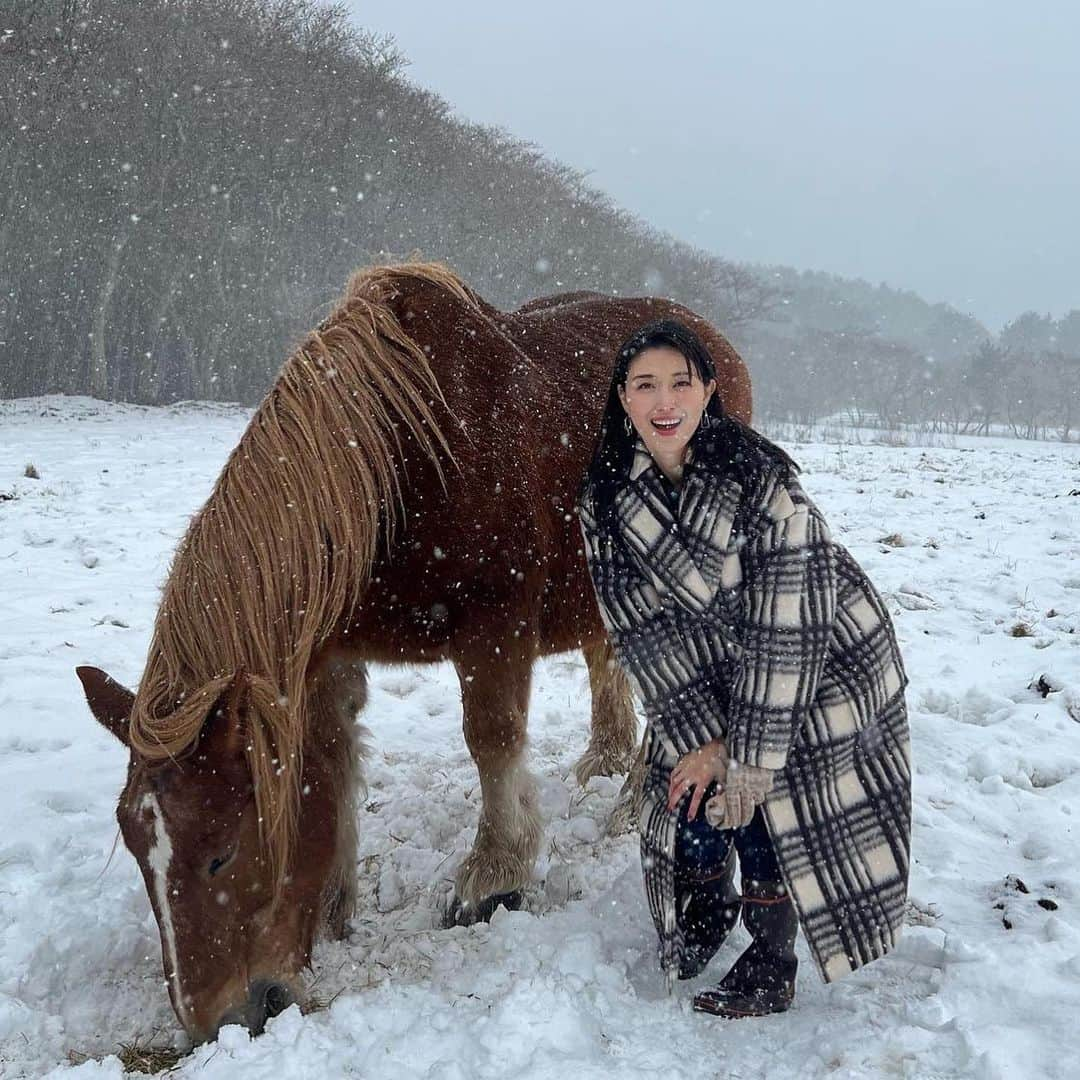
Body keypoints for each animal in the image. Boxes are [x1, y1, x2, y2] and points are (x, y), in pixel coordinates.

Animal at [78, 259, 751, 1036]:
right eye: (136, 850)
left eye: (222, 854)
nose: (220, 1022)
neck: (394, 466)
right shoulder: (325, 657)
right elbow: (332, 761)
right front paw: (335, 901)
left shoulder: (494, 630)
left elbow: (491, 740)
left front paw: (493, 879)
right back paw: (608, 764)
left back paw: (635, 797)